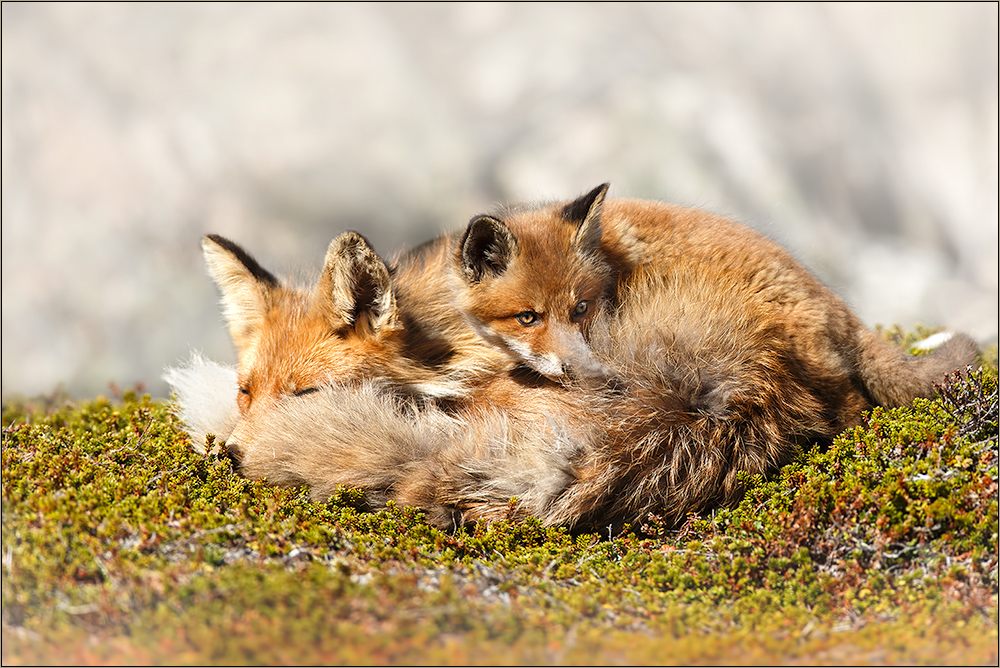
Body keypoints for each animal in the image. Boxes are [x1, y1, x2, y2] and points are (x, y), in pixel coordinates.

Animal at [456, 183, 984, 434]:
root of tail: (836, 304)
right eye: (528, 317)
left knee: (851, 402)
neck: (614, 259)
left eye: (581, 309)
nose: (574, 370)